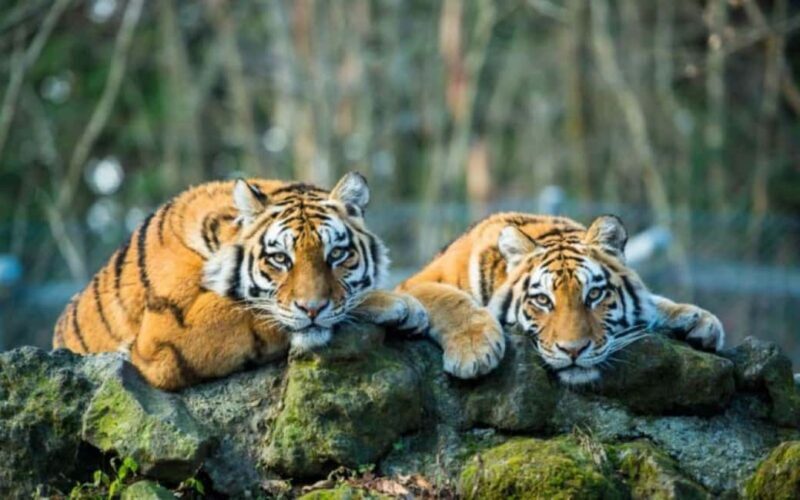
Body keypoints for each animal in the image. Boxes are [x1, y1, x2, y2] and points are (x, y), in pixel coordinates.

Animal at [53, 172, 428, 390]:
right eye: (280, 259)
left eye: (336, 254)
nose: (312, 309)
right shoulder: (166, 334)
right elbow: (254, 310)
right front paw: (398, 303)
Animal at [398, 212, 724, 385]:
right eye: (543, 300)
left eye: (594, 294)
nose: (573, 350)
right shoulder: (414, 284)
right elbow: (449, 299)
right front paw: (473, 351)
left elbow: (654, 302)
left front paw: (699, 320)